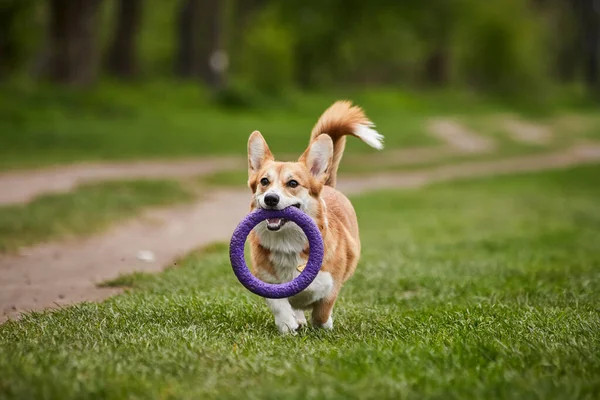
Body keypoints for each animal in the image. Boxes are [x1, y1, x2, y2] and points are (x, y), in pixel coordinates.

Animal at [247, 101, 384, 334]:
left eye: (293, 183)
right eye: (264, 181)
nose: (271, 199)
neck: (288, 243)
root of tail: (327, 184)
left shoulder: (331, 285)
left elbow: (321, 311)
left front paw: (324, 326)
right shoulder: (266, 282)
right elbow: (279, 304)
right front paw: (287, 324)